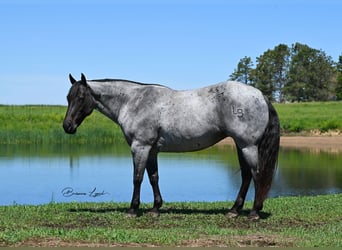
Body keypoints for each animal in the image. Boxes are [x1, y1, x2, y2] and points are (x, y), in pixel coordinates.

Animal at [62, 73, 280, 220]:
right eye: (68, 97)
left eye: (80, 97)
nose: (67, 126)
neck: (133, 102)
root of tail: (260, 95)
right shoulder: (151, 150)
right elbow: (153, 178)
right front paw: (155, 208)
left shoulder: (140, 147)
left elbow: (137, 178)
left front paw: (133, 209)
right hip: (241, 145)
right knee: (246, 176)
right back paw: (234, 210)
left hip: (248, 146)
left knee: (256, 174)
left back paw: (254, 212)